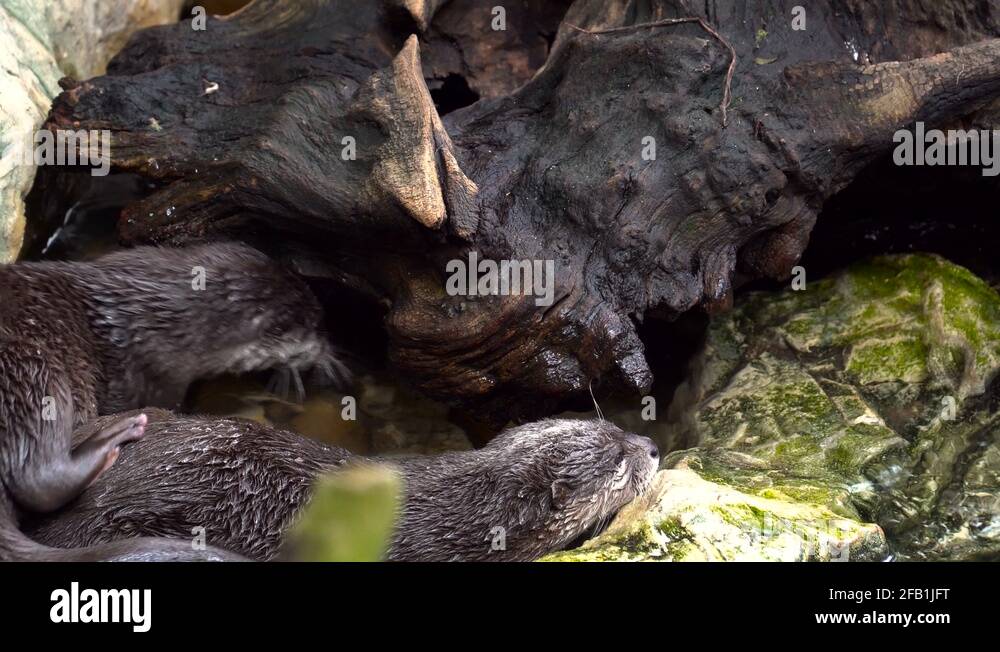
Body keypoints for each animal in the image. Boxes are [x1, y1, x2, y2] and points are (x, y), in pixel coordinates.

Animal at [0, 243, 340, 560]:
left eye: (322, 317)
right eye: (318, 325)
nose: (326, 349)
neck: (155, 318)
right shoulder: (158, 377)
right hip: (34, 369)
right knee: (38, 476)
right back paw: (114, 436)